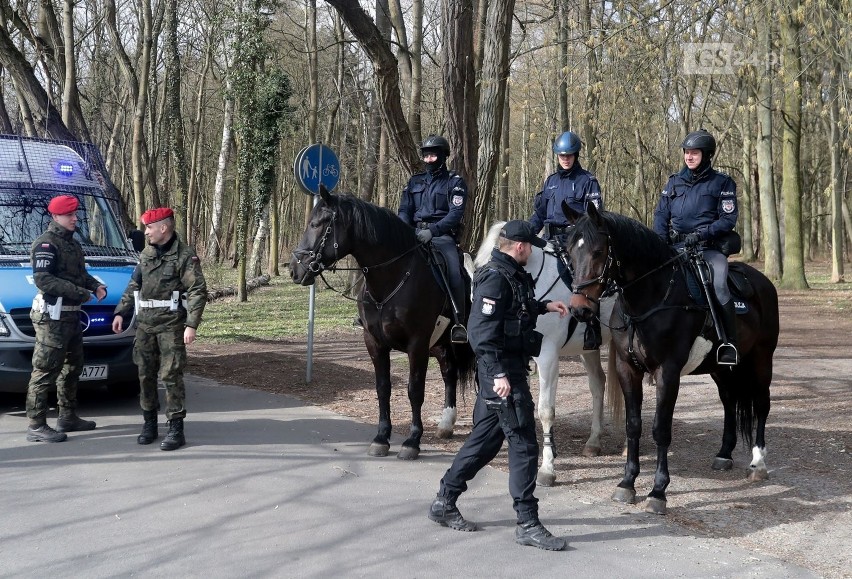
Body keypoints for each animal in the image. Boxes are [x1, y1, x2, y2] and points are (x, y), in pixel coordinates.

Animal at [292, 188, 476, 460]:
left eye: (316, 224)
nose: (295, 270)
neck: (393, 277)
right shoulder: (375, 342)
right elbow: (383, 388)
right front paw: (381, 438)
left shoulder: (417, 345)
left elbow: (415, 390)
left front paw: (412, 441)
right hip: (441, 344)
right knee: (449, 372)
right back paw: (446, 424)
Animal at [472, 224, 612, 488]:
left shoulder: (547, 358)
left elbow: (546, 411)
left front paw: (547, 467)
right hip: (588, 349)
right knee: (598, 383)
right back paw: (594, 441)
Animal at [564, 202, 776, 516]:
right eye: (569, 250)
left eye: (599, 251)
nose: (579, 309)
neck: (650, 300)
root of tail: (763, 282)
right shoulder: (627, 369)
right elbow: (633, 425)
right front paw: (627, 483)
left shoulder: (668, 372)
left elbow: (661, 429)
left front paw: (658, 491)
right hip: (721, 369)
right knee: (728, 402)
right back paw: (724, 455)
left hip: (762, 360)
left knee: (761, 405)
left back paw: (758, 463)